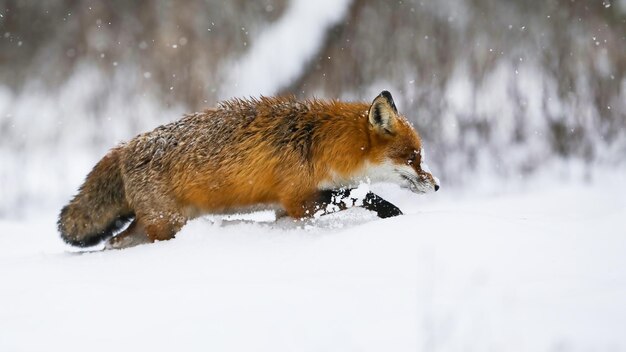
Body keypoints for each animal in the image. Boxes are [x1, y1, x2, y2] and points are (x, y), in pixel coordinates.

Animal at [59, 92, 438, 249]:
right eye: (413, 158)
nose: (435, 186)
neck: (317, 144)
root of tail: (124, 146)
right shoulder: (299, 201)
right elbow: (362, 196)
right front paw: (394, 215)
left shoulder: (284, 211)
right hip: (167, 224)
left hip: (156, 224)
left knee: (114, 243)